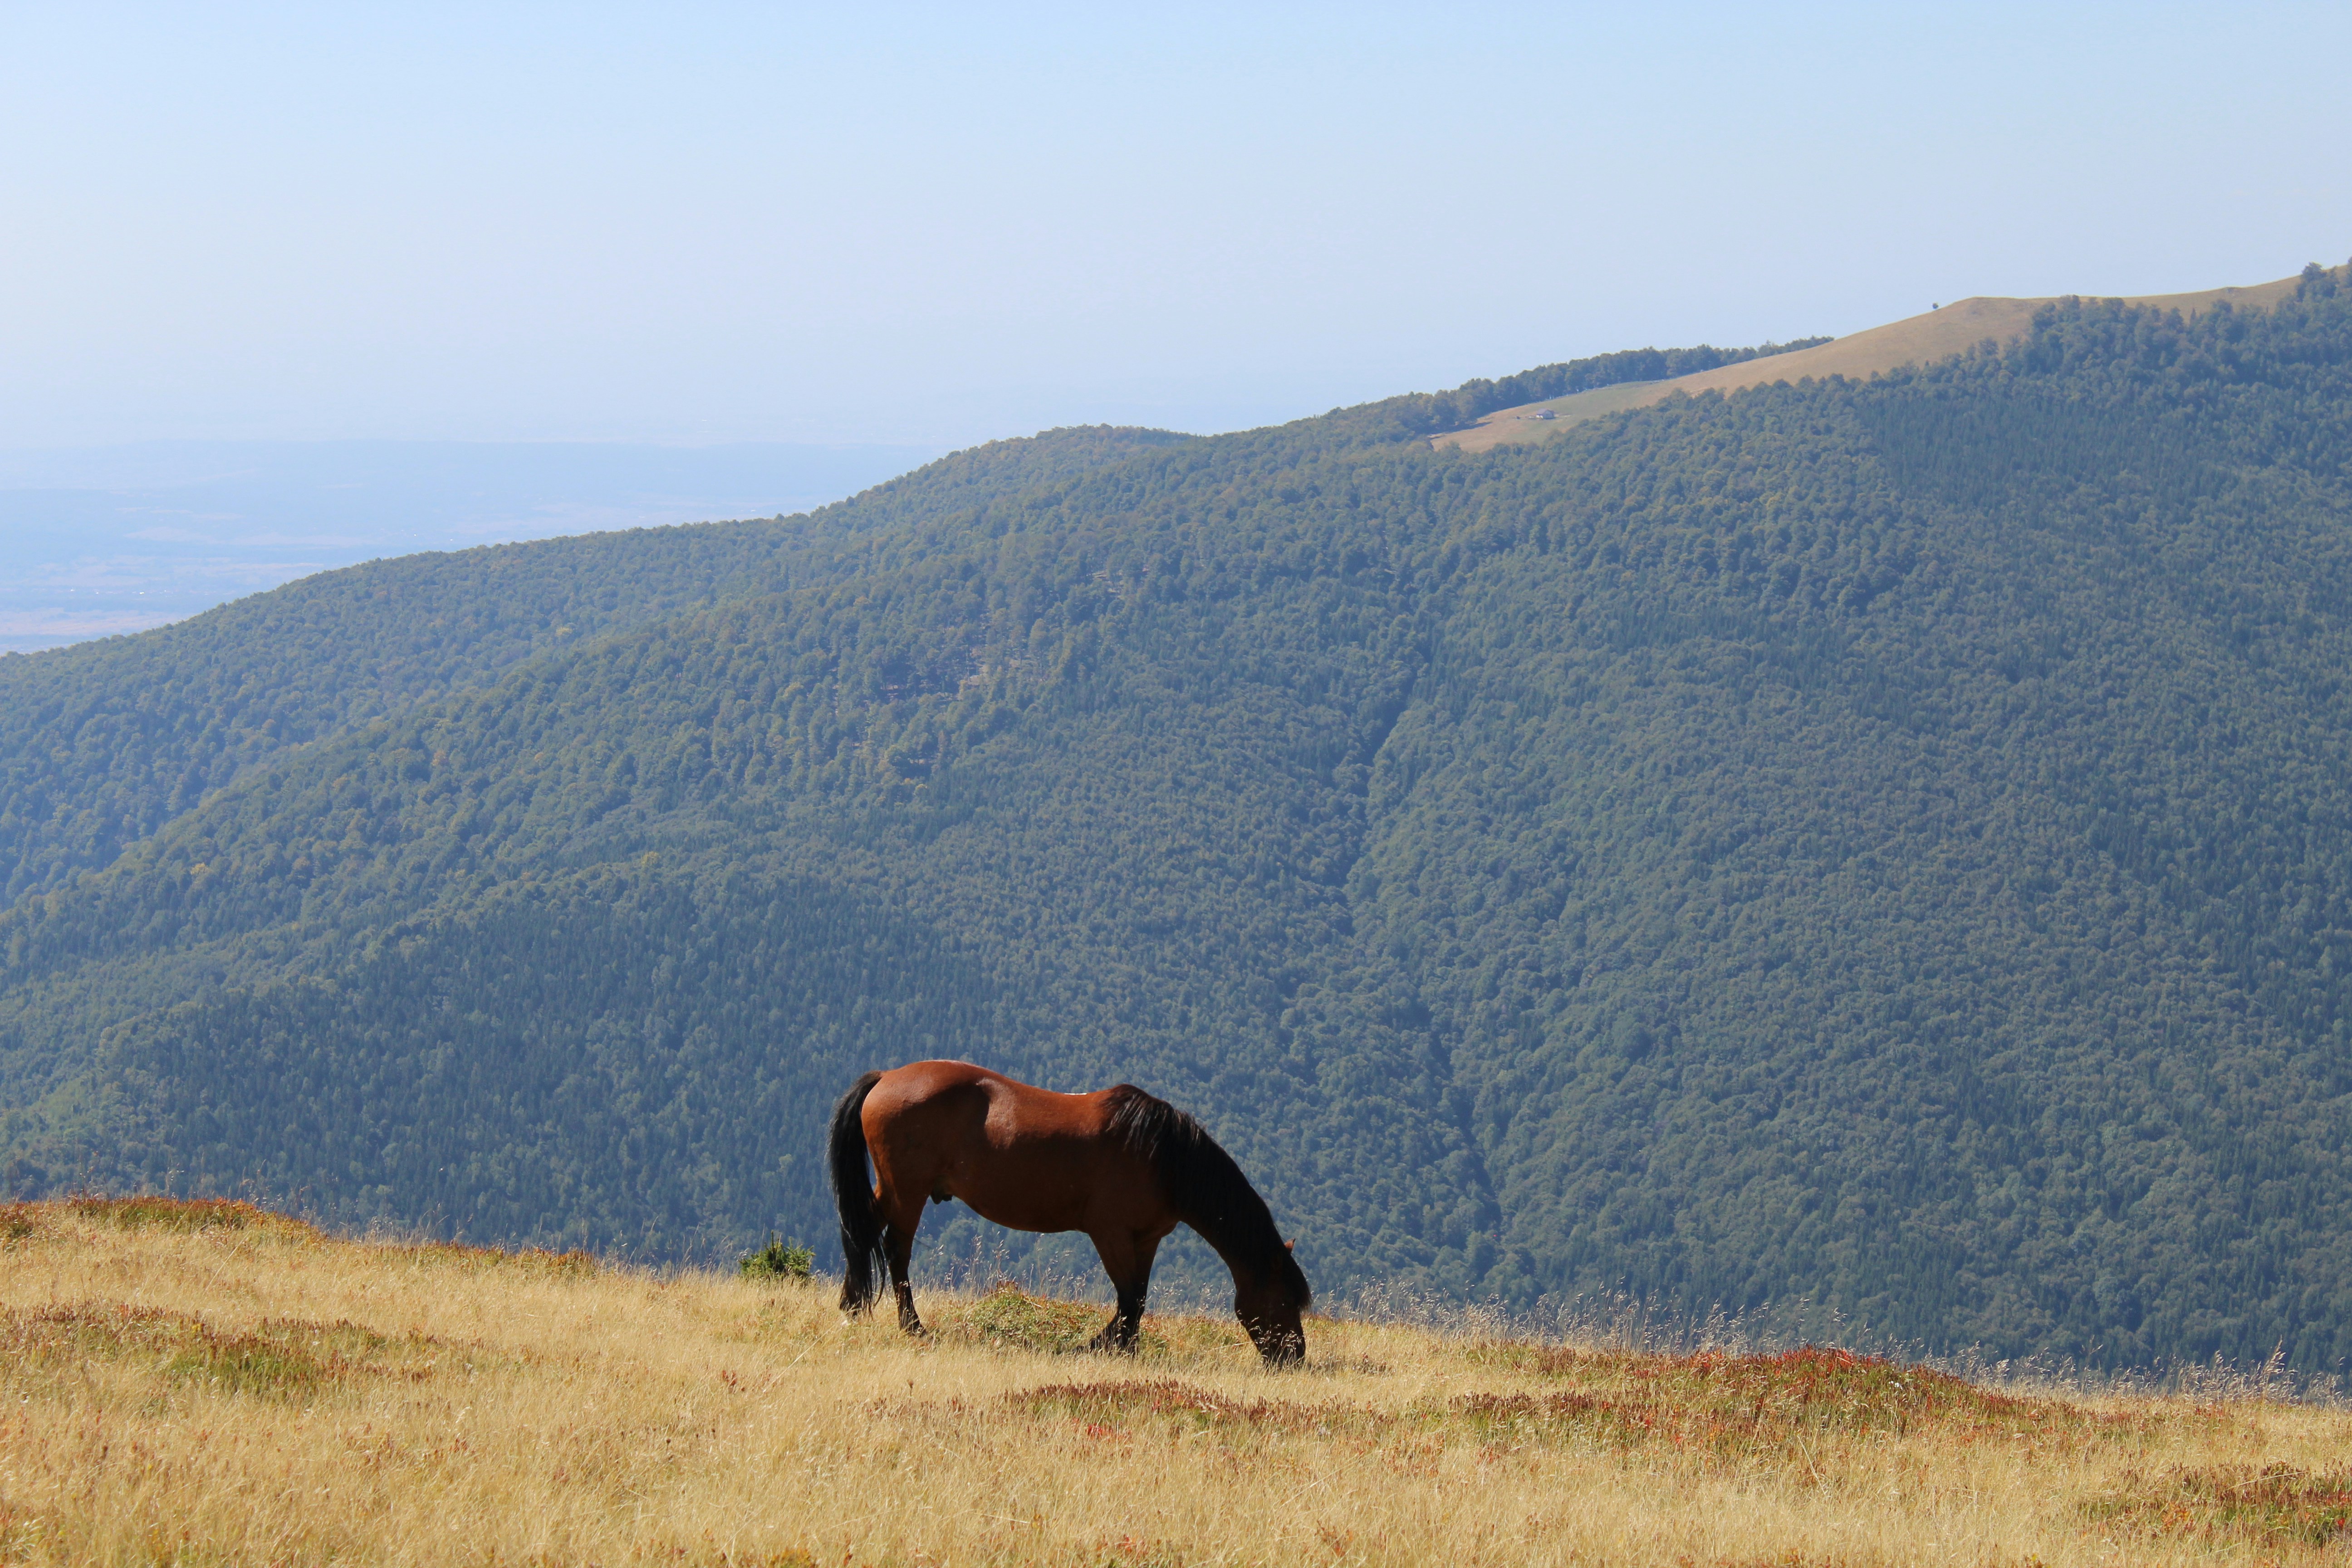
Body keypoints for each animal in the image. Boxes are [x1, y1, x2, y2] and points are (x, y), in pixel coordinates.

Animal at [828, 1060, 1312, 1366]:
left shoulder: (1146, 1239)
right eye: (1286, 1300)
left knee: (863, 1232)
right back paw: (913, 1327)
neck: (1162, 1156)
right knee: (896, 1252)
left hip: (891, 1190)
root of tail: (887, 1078)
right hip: (908, 1192)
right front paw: (1101, 1347)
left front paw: (1121, 1349)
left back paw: (852, 1306)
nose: (1295, 1357)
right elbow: (1129, 1298)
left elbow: (1137, 1298)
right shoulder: (1110, 1234)